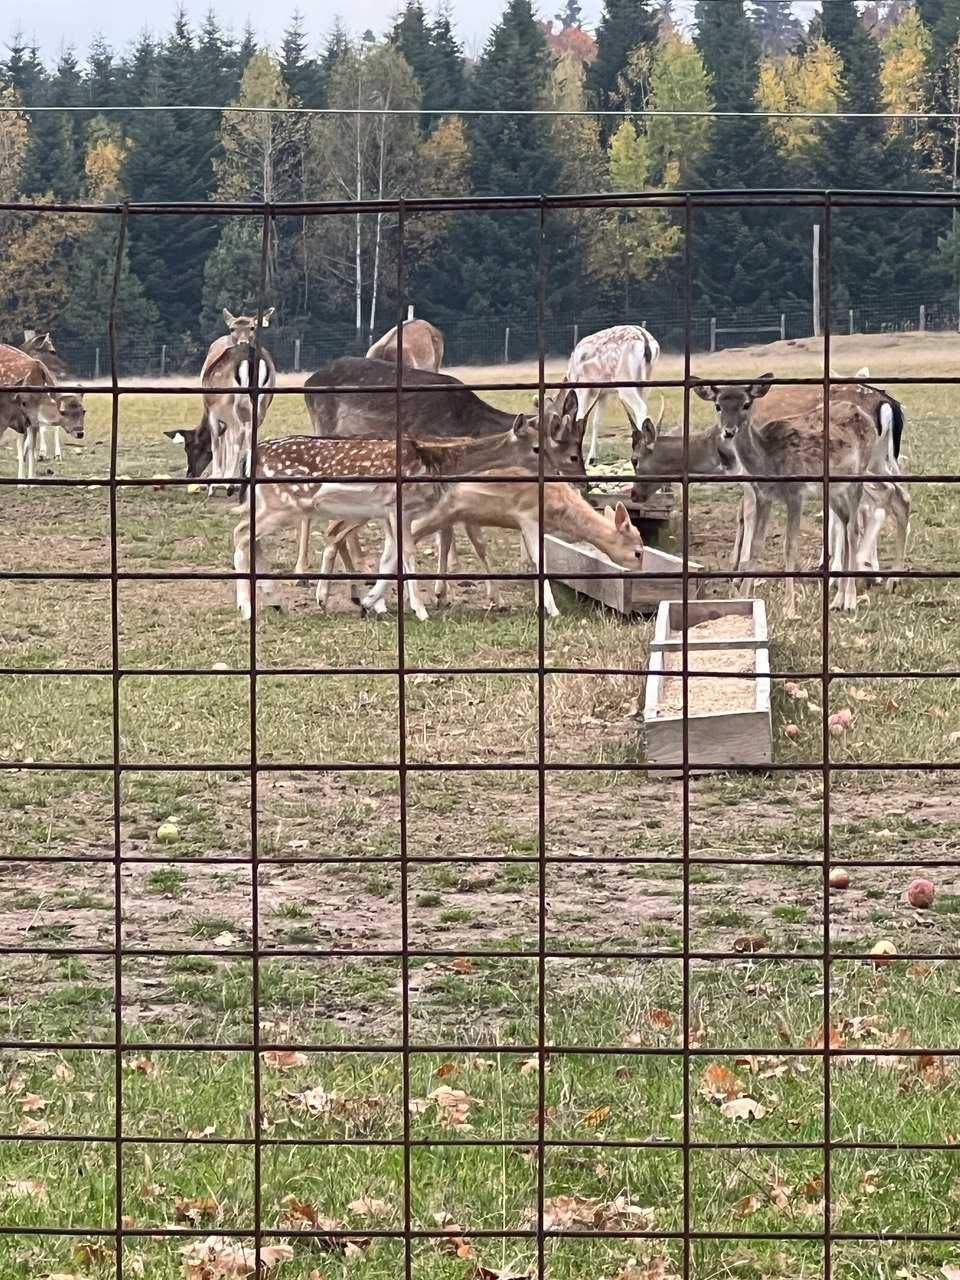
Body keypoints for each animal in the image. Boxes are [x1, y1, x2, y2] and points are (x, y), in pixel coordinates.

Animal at [0, 343, 85, 481]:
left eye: (83, 411)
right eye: (63, 412)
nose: (80, 433)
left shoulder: (31, 420)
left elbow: (30, 446)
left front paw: (29, 479)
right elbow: (22, 445)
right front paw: (21, 480)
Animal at [563, 325, 660, 465]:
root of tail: (645, 340)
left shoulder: (584, 388)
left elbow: (579, 418)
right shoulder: (603, 393)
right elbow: (596, 422)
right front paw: (591, 458)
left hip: (625, 380)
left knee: (641, 407)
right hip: (646, 380)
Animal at [696, 373, 890, 614]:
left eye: (746, 404)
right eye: (718, 405)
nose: (729, 431)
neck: (767, 460)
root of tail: (865, 416)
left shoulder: (795, 493)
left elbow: (790, 547)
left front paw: (789, 608)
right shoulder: (764, 497)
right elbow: (756, 546)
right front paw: (743, 596)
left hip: (859, 474)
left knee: (854, 529)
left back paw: (851, 600)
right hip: (834, 490)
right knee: (845, 524)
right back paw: (838, 600)